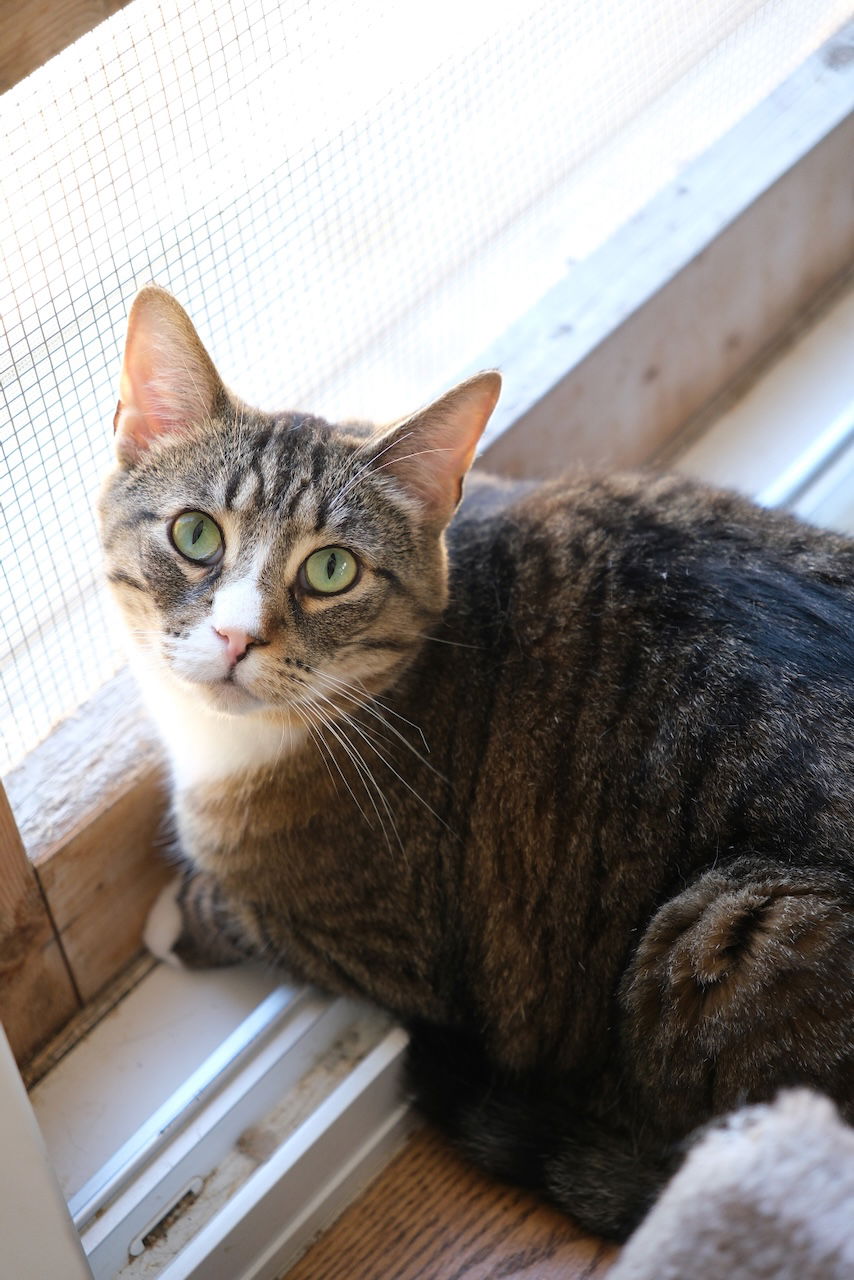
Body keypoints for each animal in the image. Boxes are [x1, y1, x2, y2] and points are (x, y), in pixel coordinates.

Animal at [101, 288, 854, 1239]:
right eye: (195, 534)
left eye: (333, 568)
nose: (237, 636)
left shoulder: (384, 940)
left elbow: (248, 912)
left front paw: (178, 916)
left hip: (737, 922)